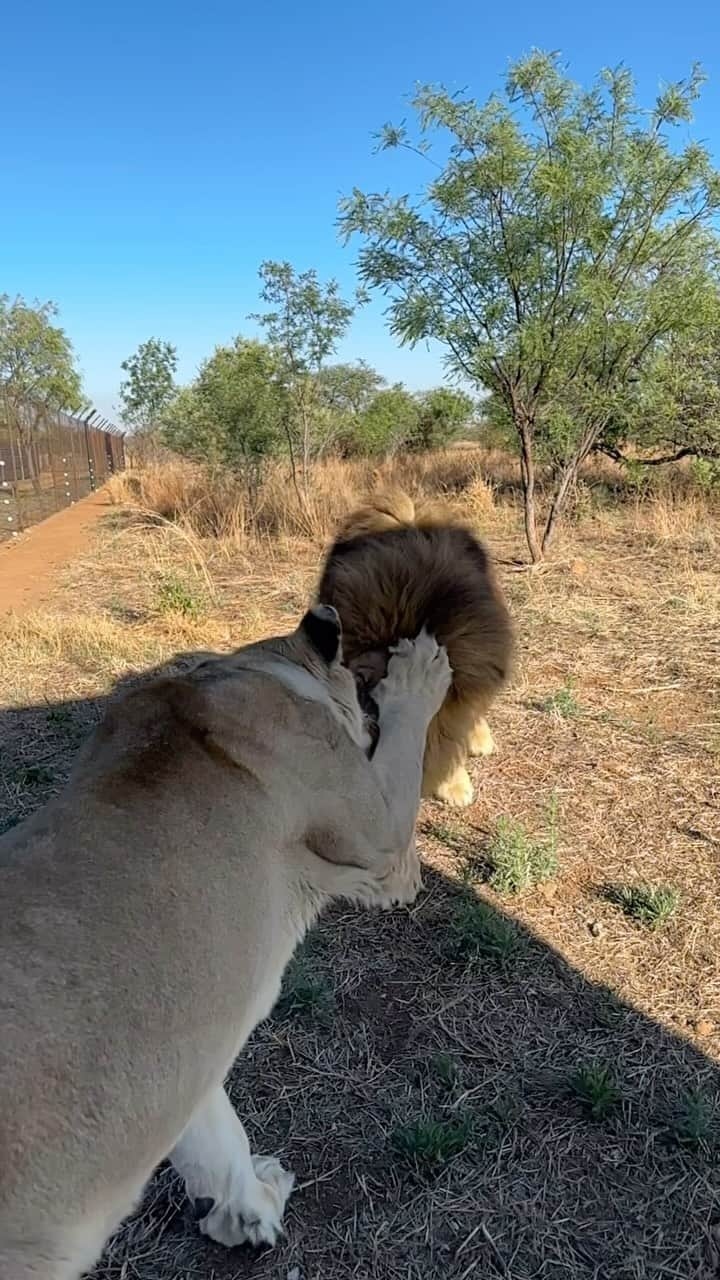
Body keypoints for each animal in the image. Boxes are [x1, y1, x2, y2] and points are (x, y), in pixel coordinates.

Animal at [0, 604, 448, 1274]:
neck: (245, 669)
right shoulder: (376, 830)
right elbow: (403, 752)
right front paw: (420, 671)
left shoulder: (186, 1062)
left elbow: (219, 1138)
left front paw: (247, 1212)